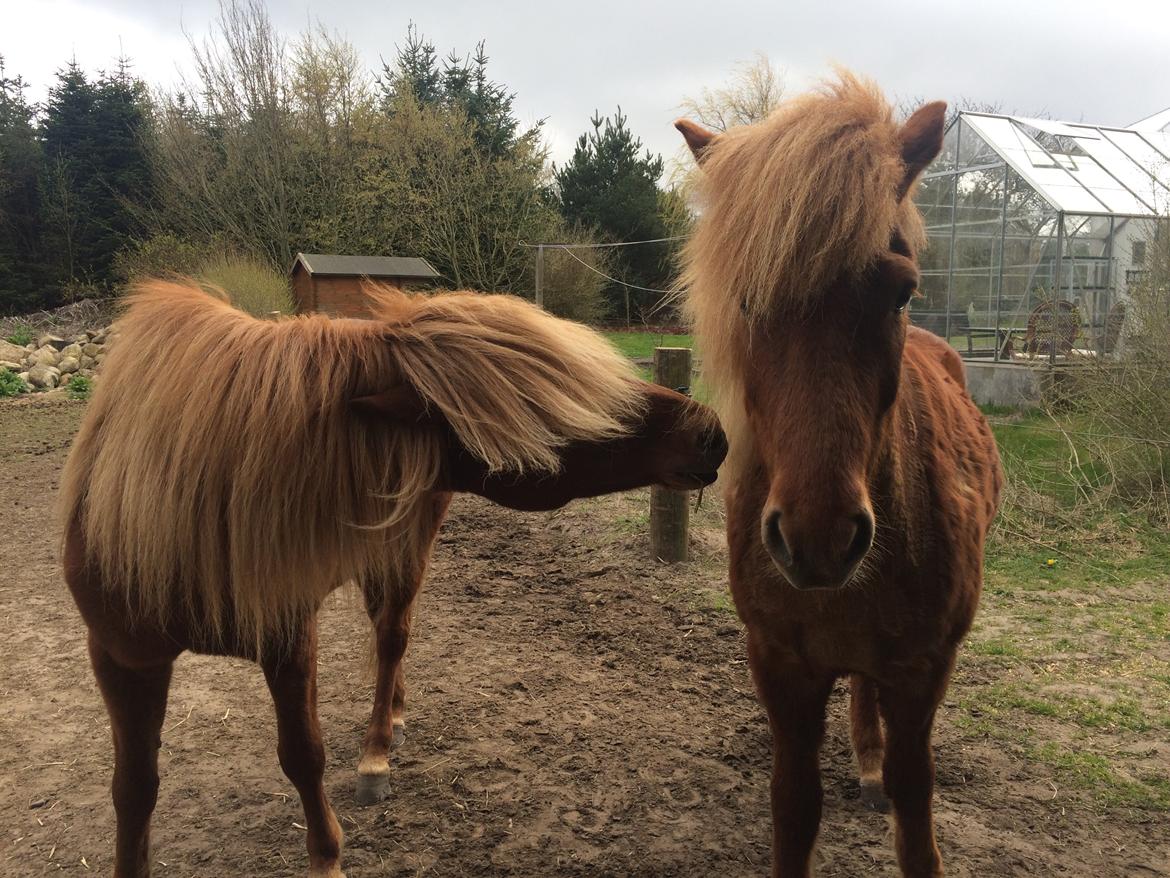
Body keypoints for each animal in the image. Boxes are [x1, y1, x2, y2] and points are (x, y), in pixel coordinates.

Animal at [59, 283, 725, 878]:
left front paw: (327, 856)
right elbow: (133, 787)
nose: (712, 433)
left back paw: (378, 749)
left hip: (402, 554)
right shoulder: (121, 657)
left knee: (392, 637)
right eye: (550, 409)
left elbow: (303, 755)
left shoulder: (289, 641)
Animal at [683, 70, 1001, 878]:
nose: (818, 537)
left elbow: (916, 811)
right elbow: (794, 808)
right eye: (746, 298)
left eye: (901, 291)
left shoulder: (922, 670)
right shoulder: (780, 666)